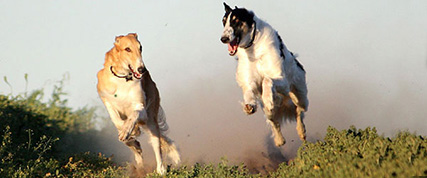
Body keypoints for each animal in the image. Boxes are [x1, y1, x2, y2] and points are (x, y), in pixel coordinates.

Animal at [97, 33, 181, 174]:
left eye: (140, 47)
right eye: (127, 49)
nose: (142, 69)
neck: (123, 79)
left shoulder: (141, 108)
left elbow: (134, 114)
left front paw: (128, 130)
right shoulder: (107, 99)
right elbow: (116, 120)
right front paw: (127, 132)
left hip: (152, 120)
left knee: (157, 147)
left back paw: (161, 170)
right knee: (137, 149)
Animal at [221, 2, 308, 147]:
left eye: (236, 21)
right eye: (224, 21)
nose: (223, 39)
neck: (253, 47)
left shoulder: (281, 79)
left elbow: (267, 79)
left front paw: (267, 98)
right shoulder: (249, 80)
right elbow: (248, 92)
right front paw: (249, 106)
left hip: (300, 97)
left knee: (299, 111)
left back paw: (301, 131)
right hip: (271, 111)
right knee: (274, 121)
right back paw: (279, 140)